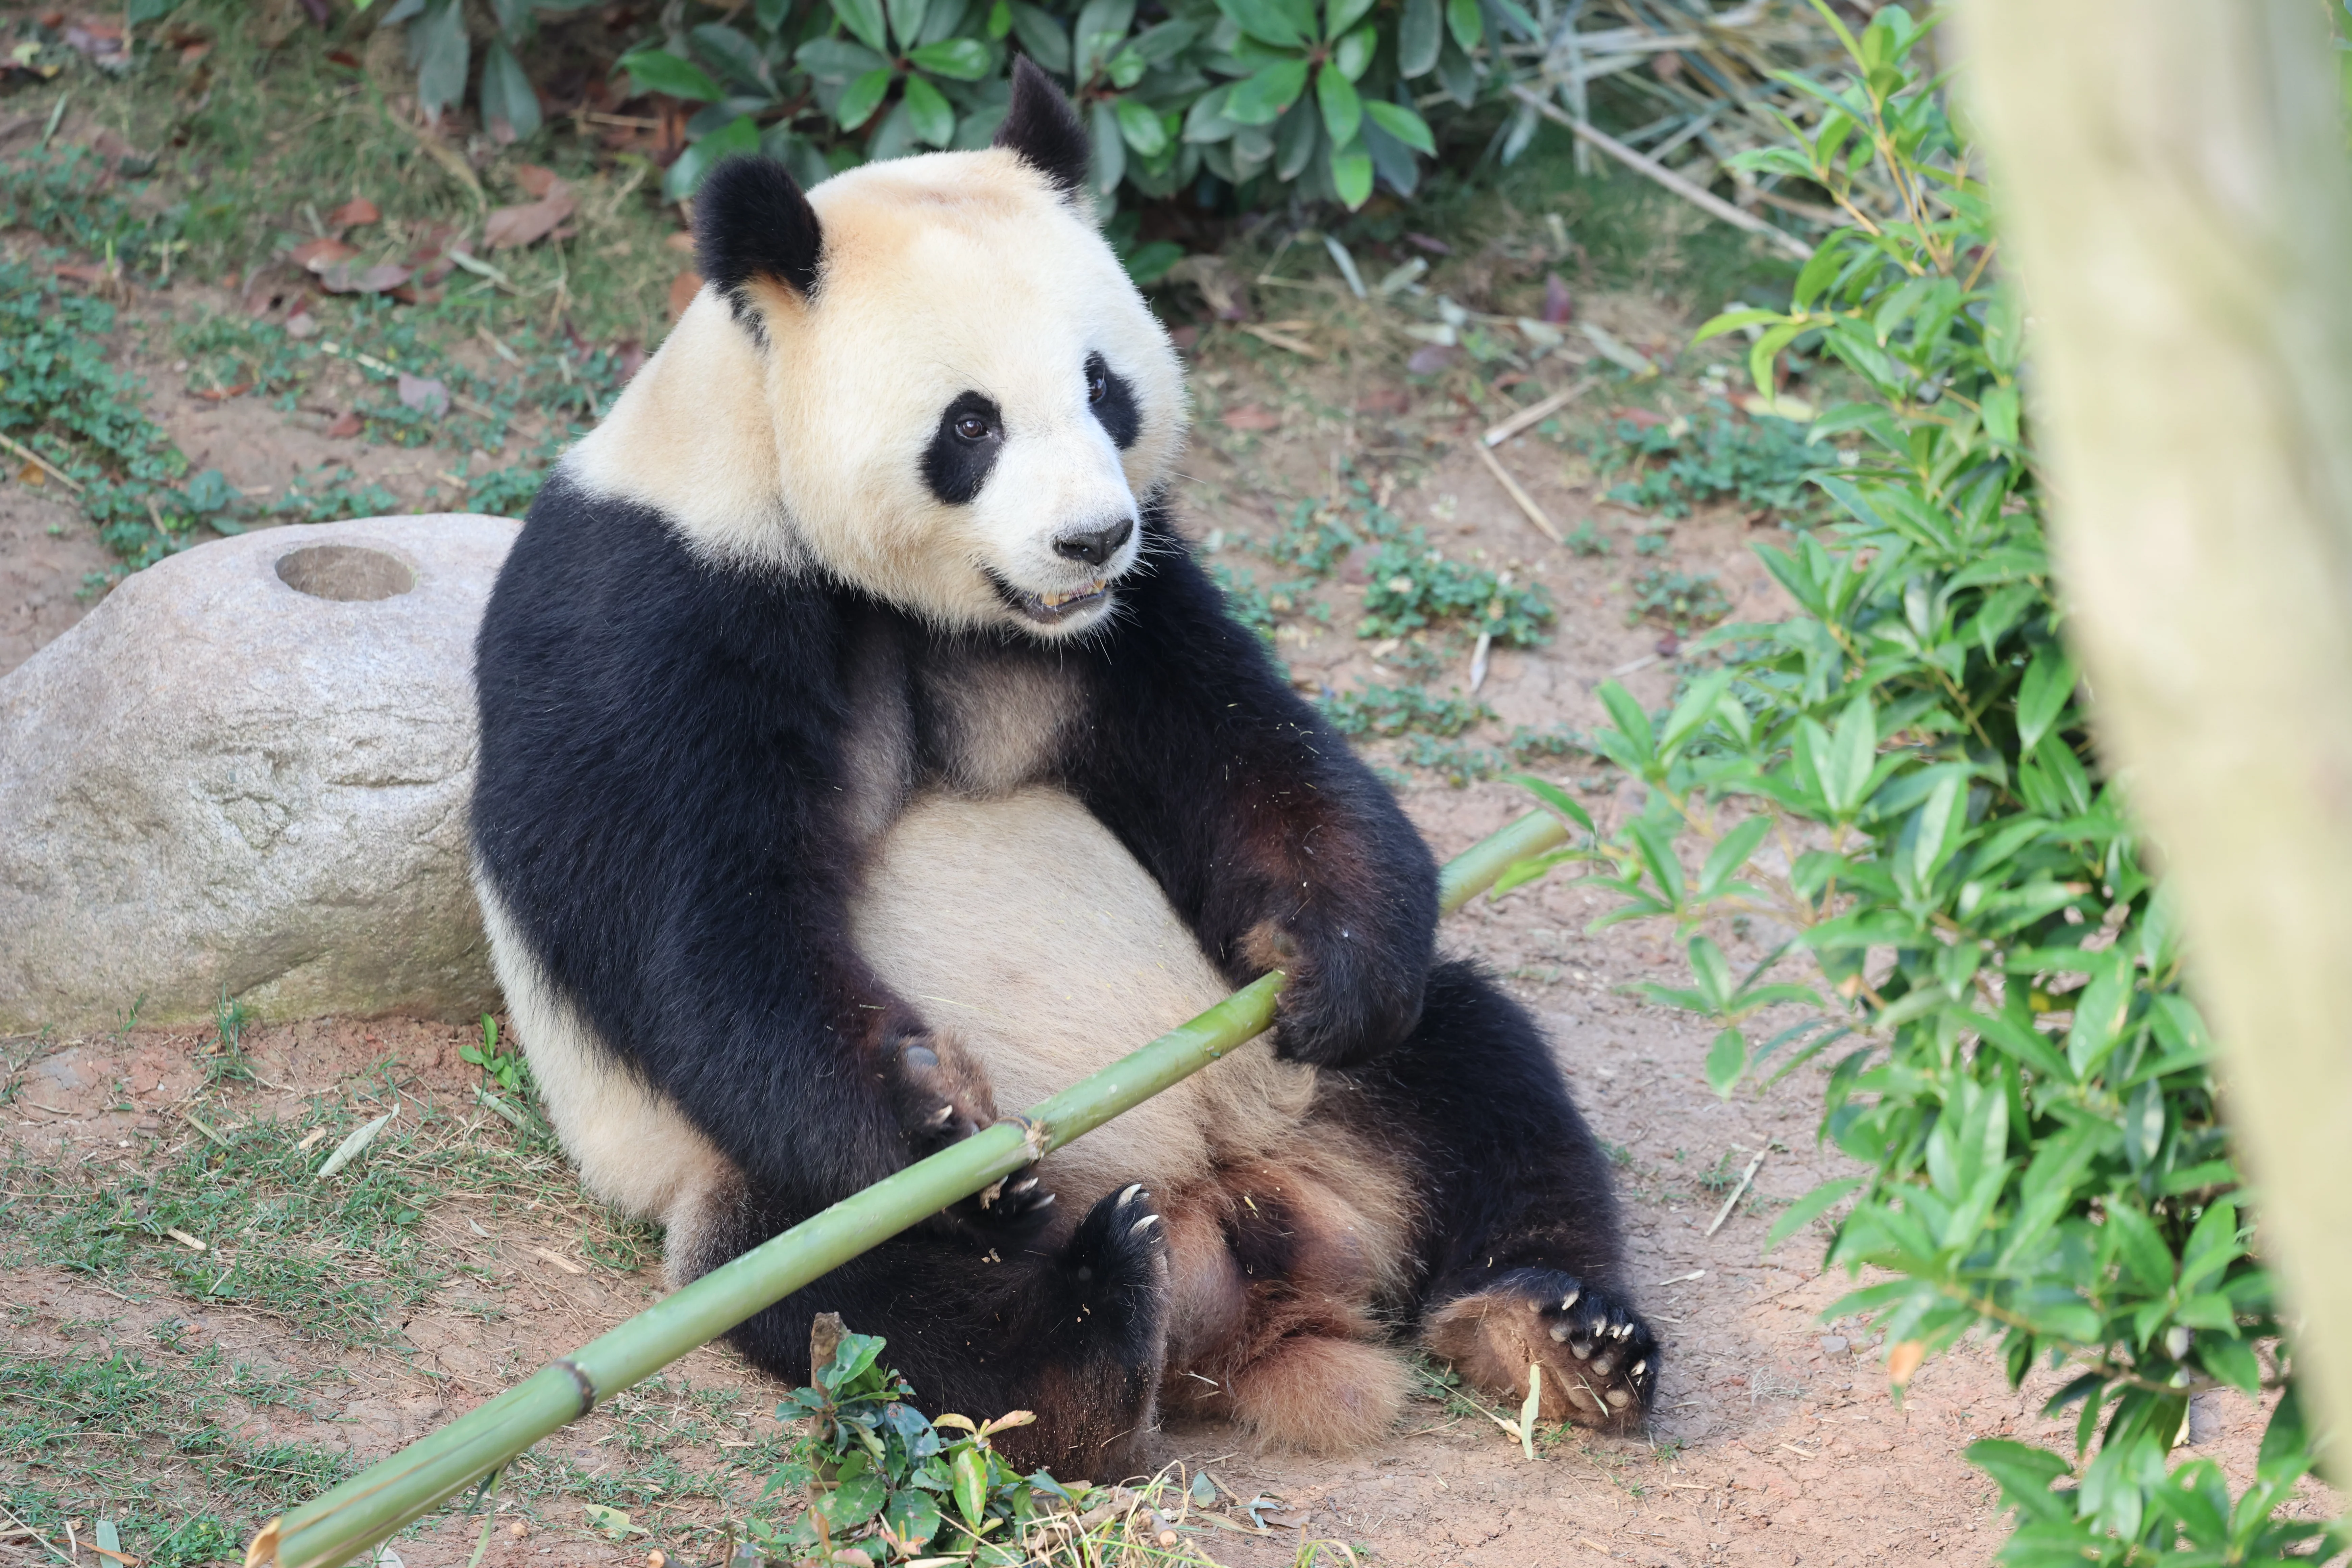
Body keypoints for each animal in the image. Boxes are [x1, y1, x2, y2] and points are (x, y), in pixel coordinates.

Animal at [470, 58, 1656, 1476]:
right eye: (969, 423)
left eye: (1106, 387)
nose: (1090, 538)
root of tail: (1238, 1239)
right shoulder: (656, 611)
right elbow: (696, 931)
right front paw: (938, 1121)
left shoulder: (1133, 616)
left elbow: (1243, 752)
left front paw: (1339, 950)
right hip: (740, 1192)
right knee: (866, 1289)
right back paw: (1091, 1327)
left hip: (1292, 1083)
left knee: (1484, 1074)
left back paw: (1557, 1334)